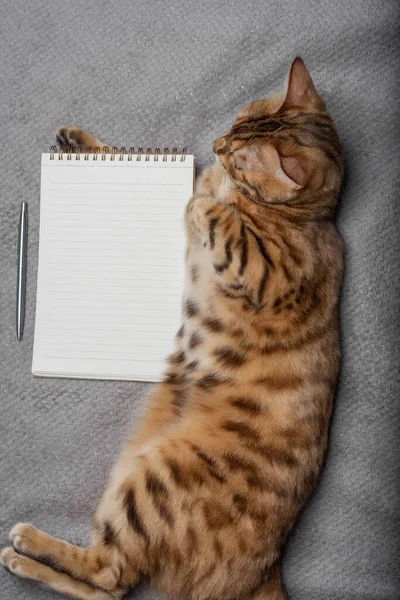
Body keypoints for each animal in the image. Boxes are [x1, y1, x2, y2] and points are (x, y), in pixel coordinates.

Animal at [0, 57, 344, 600]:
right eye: (237, 122)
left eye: (241, 158)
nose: (218, 145)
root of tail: (267, 569)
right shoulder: (199, 180)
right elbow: (154, 167)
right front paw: (81, 142)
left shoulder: (270, 274)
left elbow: (218, 219)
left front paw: (210, 208)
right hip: (131, 468)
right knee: (108, 582)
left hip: (152, 480)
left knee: (110, 577)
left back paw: (24, 547)